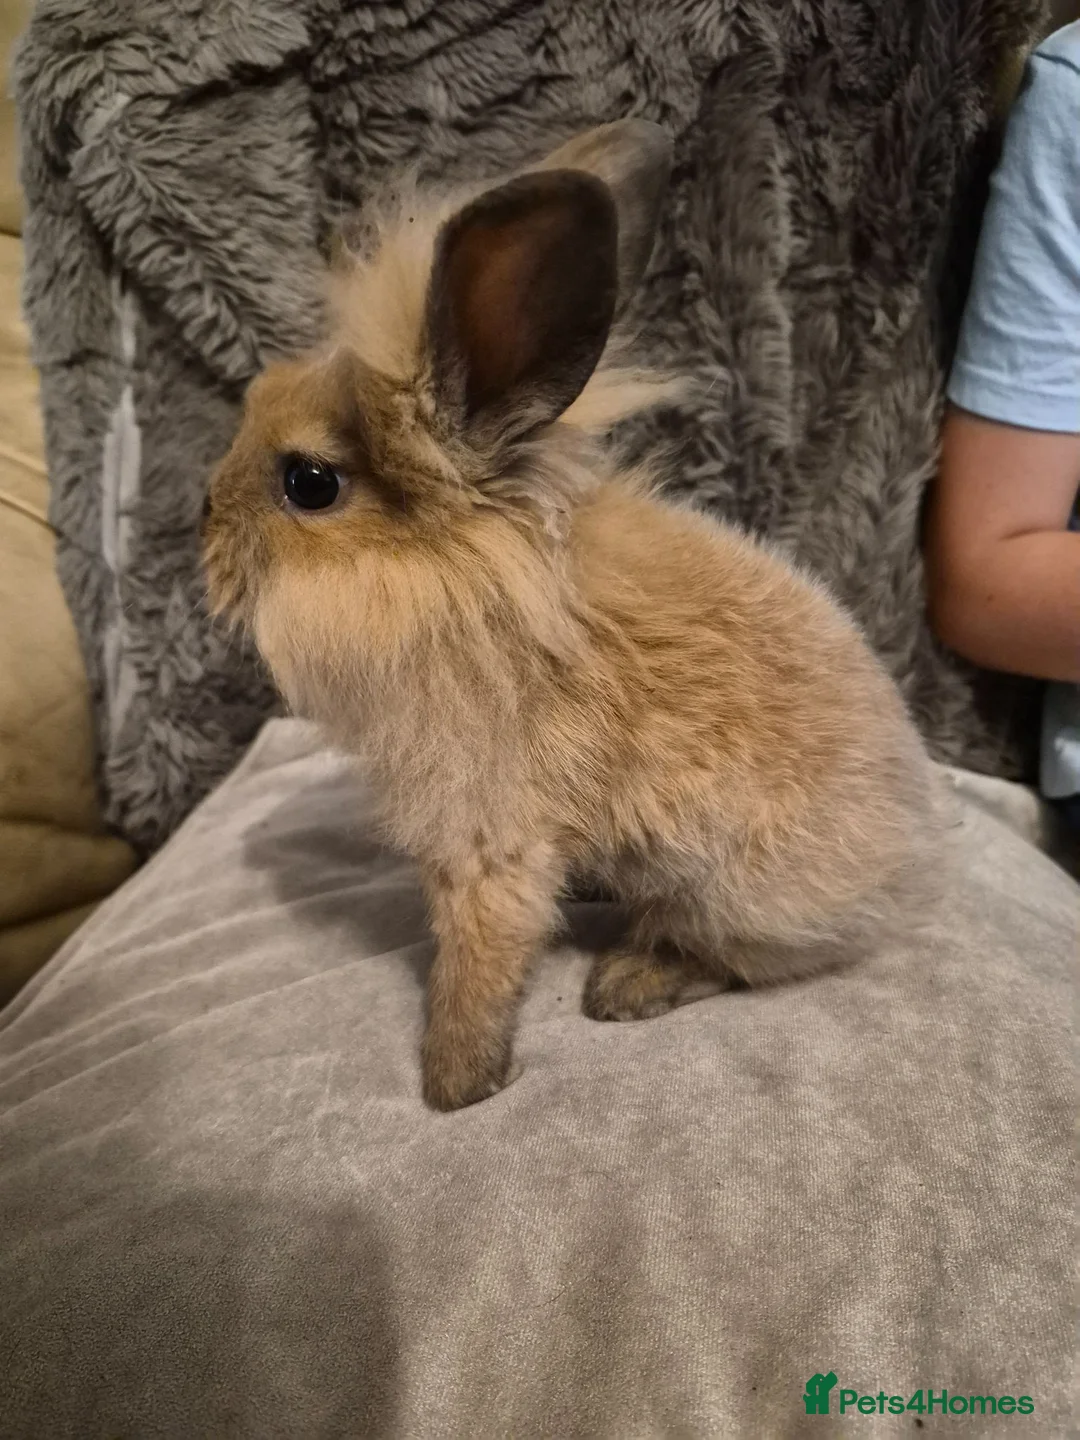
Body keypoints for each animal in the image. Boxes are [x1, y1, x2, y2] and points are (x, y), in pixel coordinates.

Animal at [202, 120, 947, 1112]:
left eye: (309, 483)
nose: (201, 522)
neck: (469, 584)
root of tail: (907, 858)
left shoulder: (486, 838)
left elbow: (477, 960)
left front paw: (456, 1083)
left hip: (734, 892)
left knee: (733, 957)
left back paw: (628, 982)